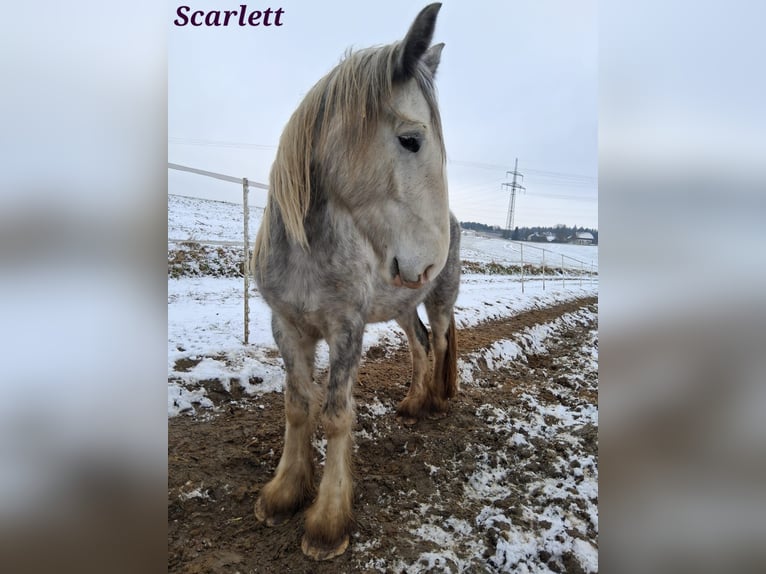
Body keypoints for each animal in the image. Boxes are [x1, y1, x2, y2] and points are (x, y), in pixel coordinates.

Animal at [251, 3, 460, 560]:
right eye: (411, 140)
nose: (431, 260)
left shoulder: (347, 329)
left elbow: (336, 413)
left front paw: (327, 521)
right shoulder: (287, 327)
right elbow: (298, 405)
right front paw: (284, 492)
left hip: (440, 301)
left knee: (442, 340)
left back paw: (437, 401)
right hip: (405, 307)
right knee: (421, 347)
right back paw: (413, 404)